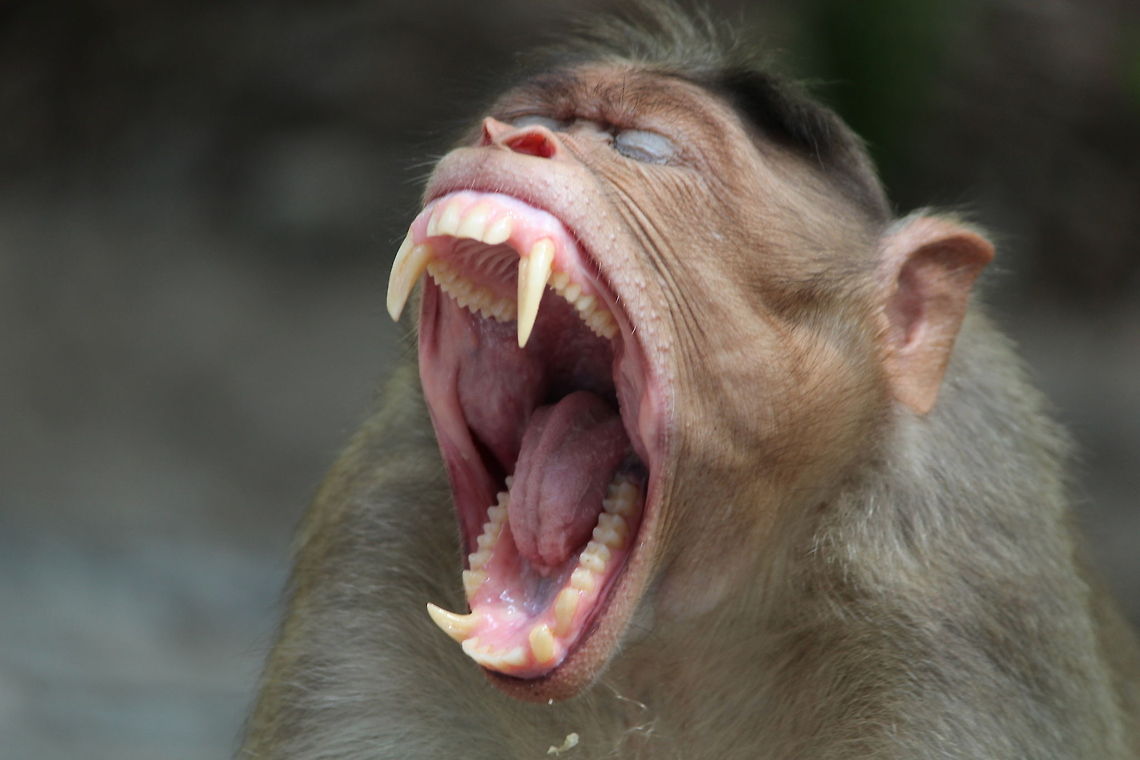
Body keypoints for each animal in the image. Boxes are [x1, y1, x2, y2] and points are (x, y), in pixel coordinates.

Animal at [240, 5, 1140, 759]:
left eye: (642, 149)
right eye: (535, 122)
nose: (509, 139)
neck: (667, 644)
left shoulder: (972, 590)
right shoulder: (376, 536)